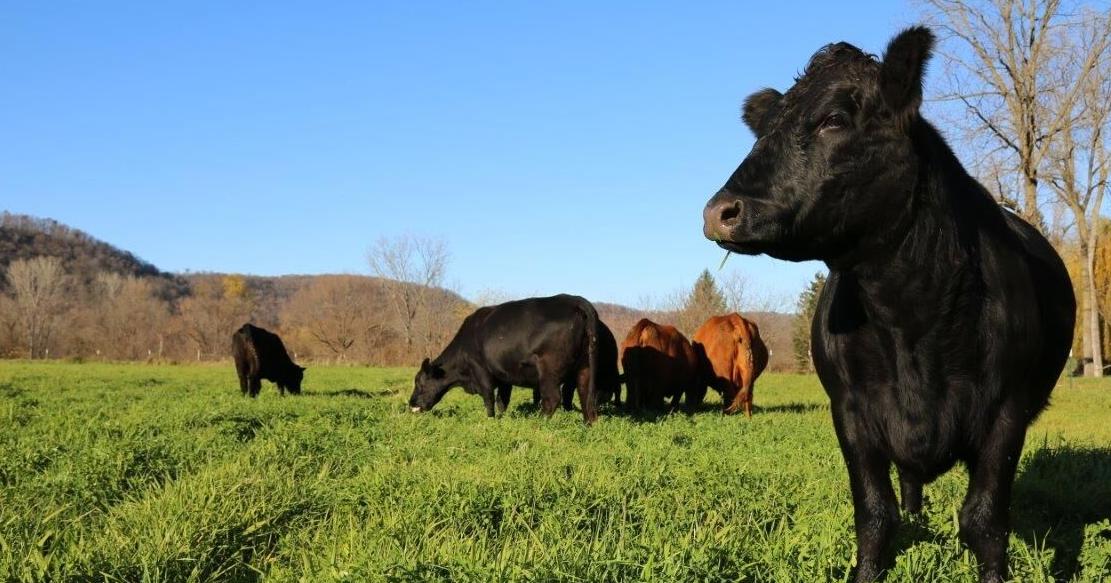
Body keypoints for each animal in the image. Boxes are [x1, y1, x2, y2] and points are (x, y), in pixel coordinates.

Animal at [408, 294, 601, 424]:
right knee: (586, 398)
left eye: (419, 383)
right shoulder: (504, 377)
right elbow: (502, 401)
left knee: (552, 399)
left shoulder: (481, 372)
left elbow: (489, 400)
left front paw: (490, 421)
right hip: (584, 367)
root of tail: (575, 300)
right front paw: (501, 420)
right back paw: (587, 426)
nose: (411, 402)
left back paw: (537, 423)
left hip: (549, 370)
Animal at [701, 27, 1075, 583]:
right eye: (762, 131)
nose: (719, 212)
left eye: (835, 119)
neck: (910, 318)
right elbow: (876, 515)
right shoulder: (851, 411)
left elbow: (984, 519)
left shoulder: (1007, 411)